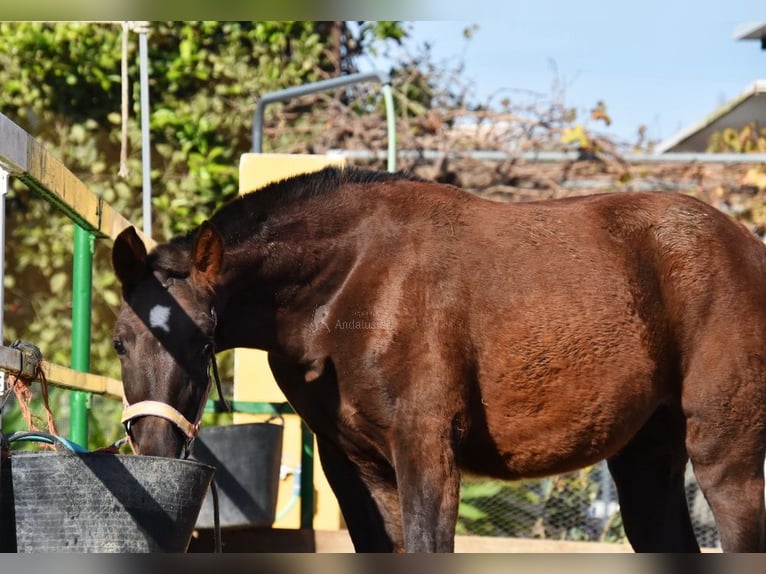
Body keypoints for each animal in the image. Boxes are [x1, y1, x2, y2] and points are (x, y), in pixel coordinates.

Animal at [111, 166, 766, 552]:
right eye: (121, 341)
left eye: (202, 341)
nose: (155, 447)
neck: (350, 287)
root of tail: (747, 245)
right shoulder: (355, 465)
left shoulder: (425, 447)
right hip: (646, 461)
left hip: (727, 462)